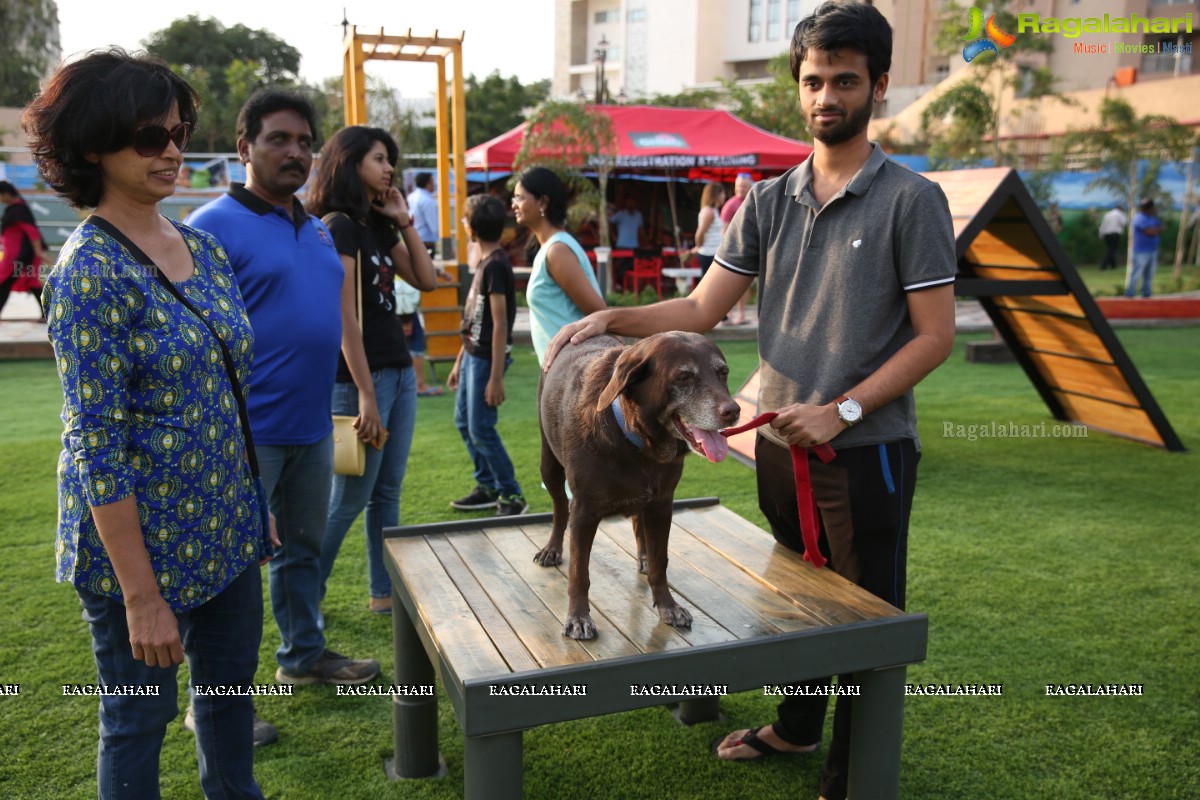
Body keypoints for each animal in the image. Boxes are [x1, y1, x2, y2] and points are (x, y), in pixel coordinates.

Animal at [535, 331, 739, 638]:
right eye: (683, 377)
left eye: (722, 372)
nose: (734, 411)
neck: (635, 442)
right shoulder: (584, 512)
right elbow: (579, 573)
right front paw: (579, 617)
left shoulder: (662, 505)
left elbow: (659, 562)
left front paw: (668, 606)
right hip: (549, 465)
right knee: (560, 507)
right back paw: (552, 548)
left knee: (637, 524)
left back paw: (642, 555)